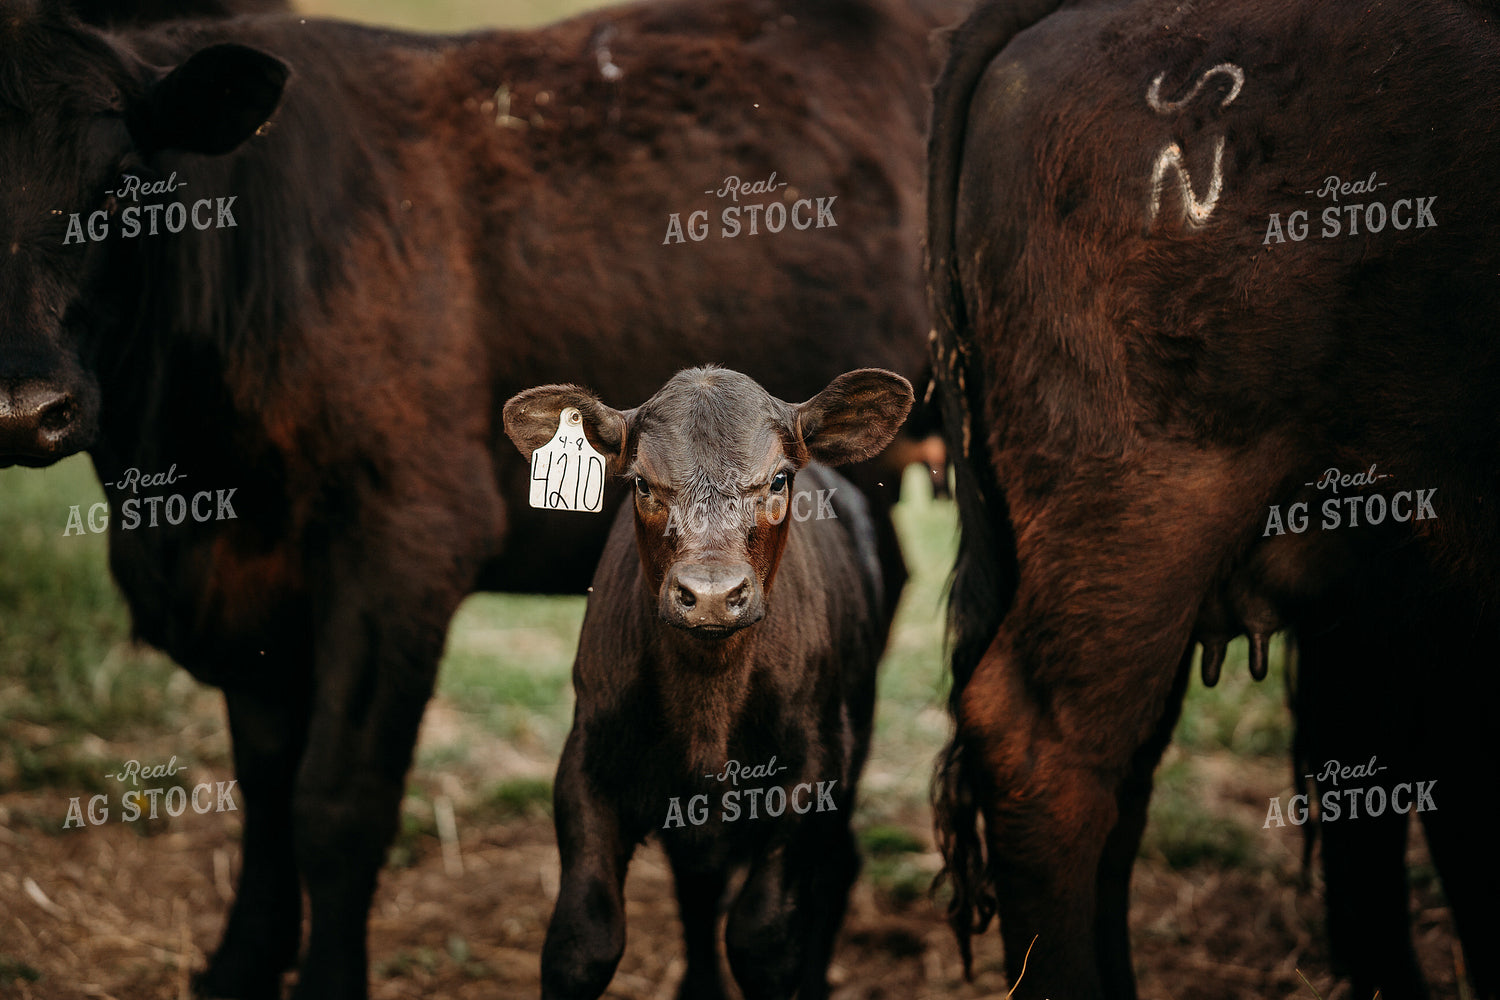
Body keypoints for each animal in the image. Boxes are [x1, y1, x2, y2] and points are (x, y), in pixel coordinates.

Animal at [502, 365, 913, 1000]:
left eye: (778, 479)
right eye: (643, 484)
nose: (713, 595)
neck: (707, 708)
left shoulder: (813, 772)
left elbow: (764, 938)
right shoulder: (584, 767)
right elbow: (583, 939)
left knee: (836, 870)